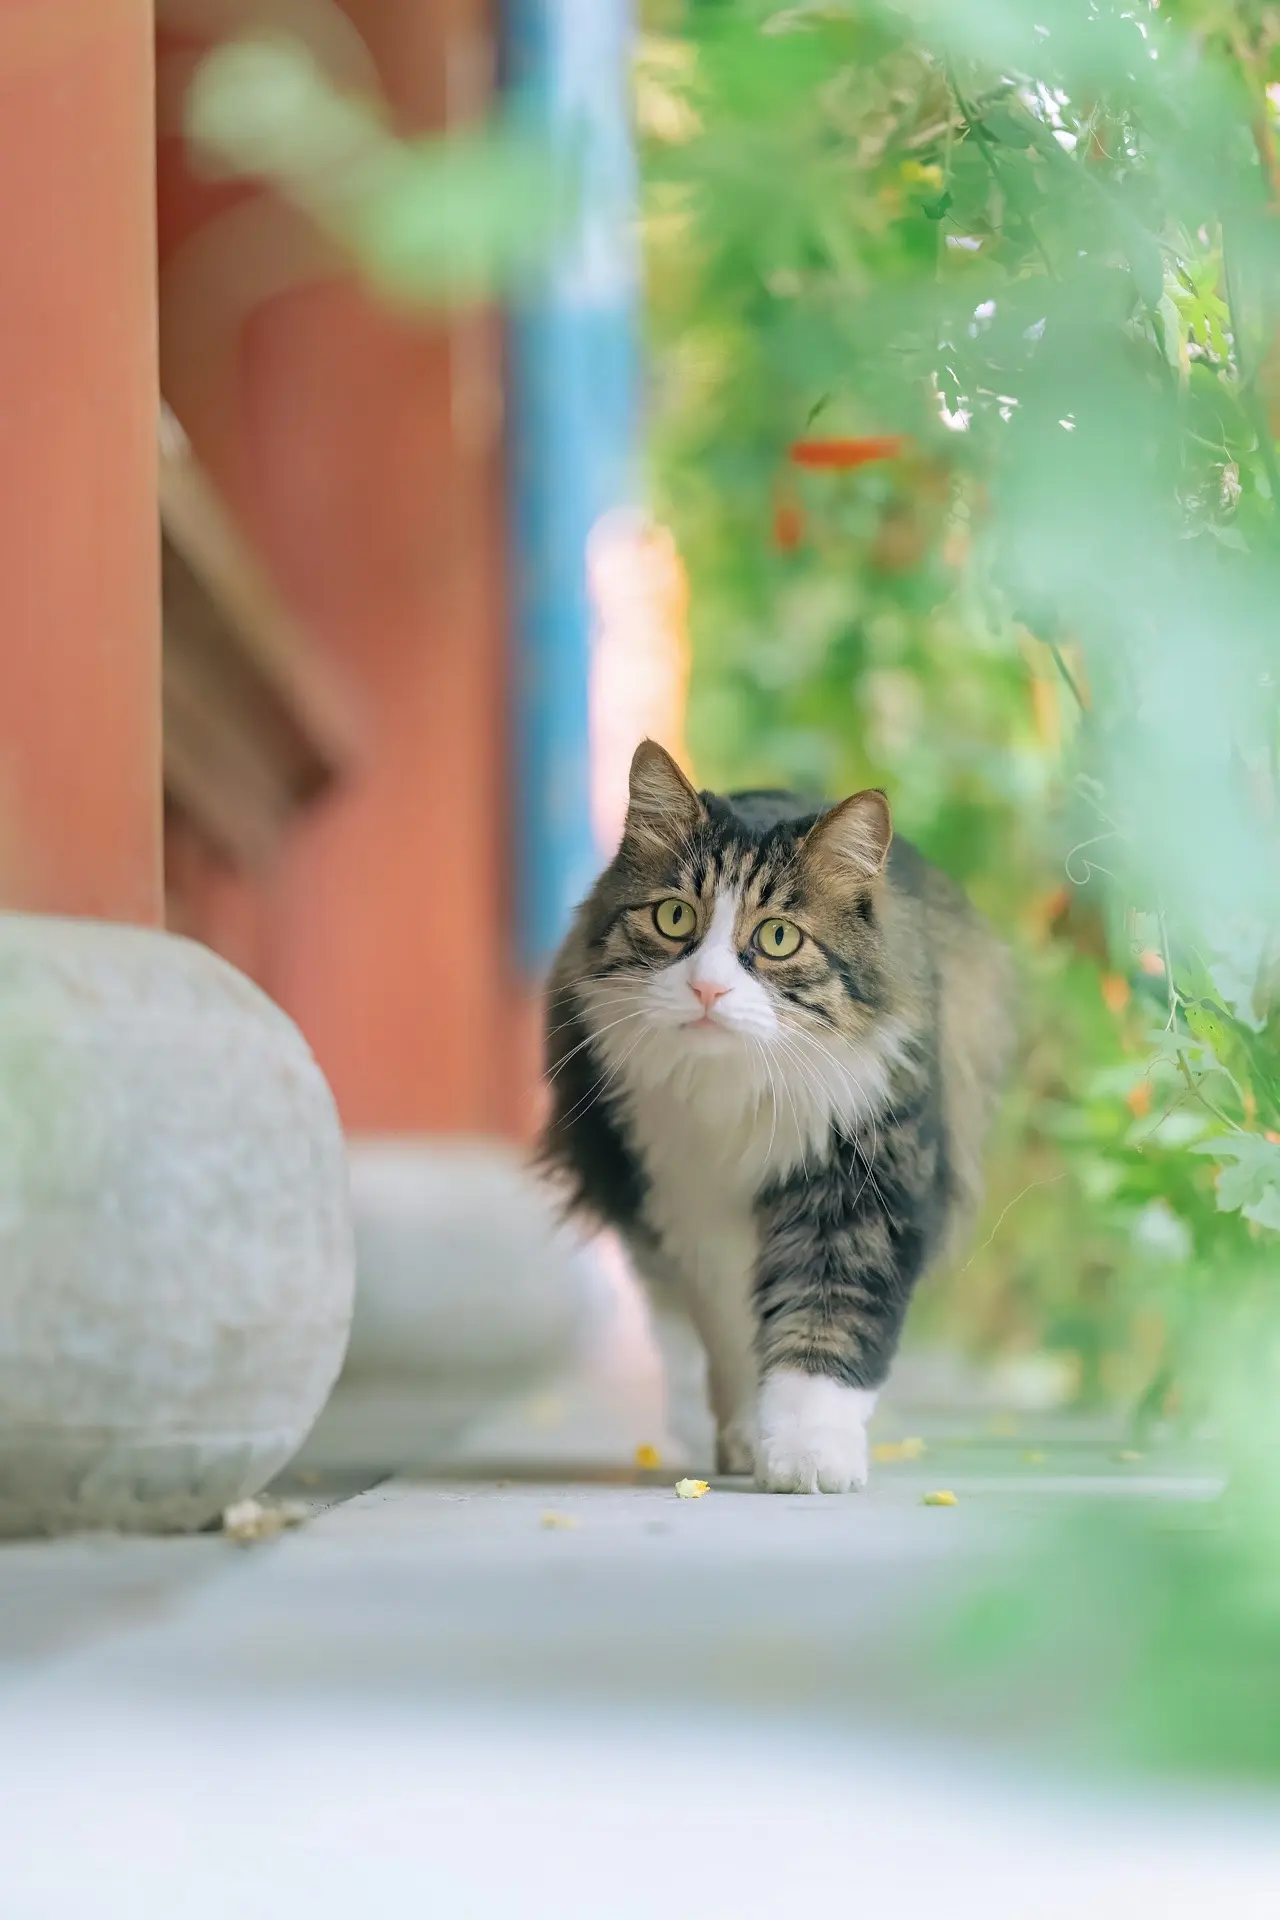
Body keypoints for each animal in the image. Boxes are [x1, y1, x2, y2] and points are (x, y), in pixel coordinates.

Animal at [537, 741, 1013, 1489]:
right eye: (675, 918)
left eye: (779, 937)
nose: (708, 988)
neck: (736, 1091)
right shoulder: (693, 1214)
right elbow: (736, 1340)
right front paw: (754, 1439)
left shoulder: (860, 1193)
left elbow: (823, 1329)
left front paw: (809, 1455)